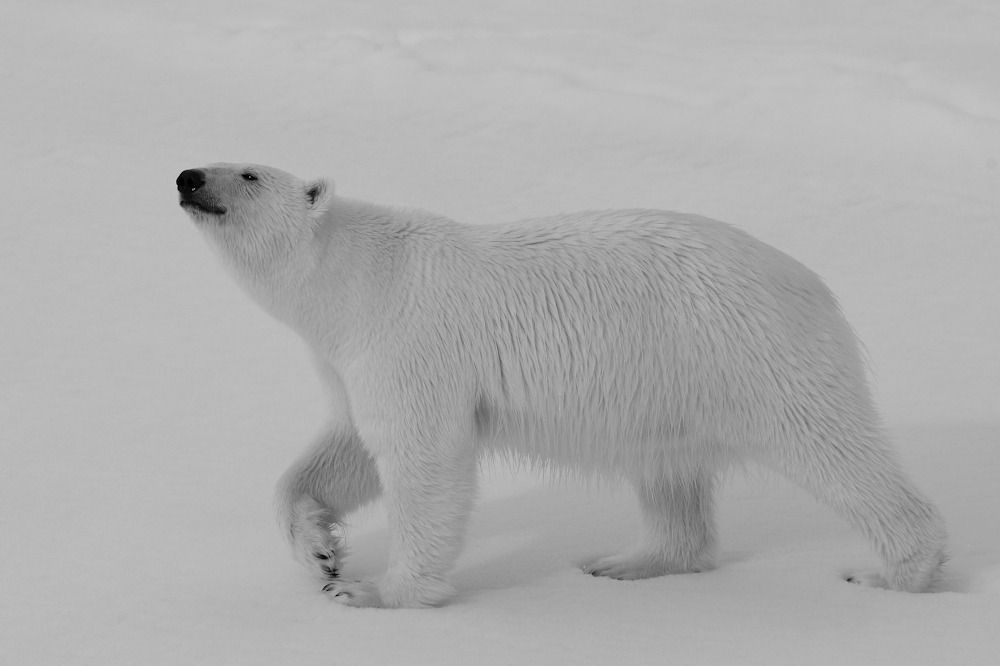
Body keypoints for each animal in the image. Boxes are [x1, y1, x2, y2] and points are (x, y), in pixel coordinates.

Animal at [180, 163, 944, 604]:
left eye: (248, 173)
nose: (188, 176)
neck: (350, 275)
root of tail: (811, 281)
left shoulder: (405, 335)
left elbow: (423, 455)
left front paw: (378, 591)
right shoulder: (344, 356)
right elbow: (344, 449)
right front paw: (319, 551)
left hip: (748, 352)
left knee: (830, 444)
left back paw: (897, 572)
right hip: (670, 383)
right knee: (668, 470)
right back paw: (627, 562)